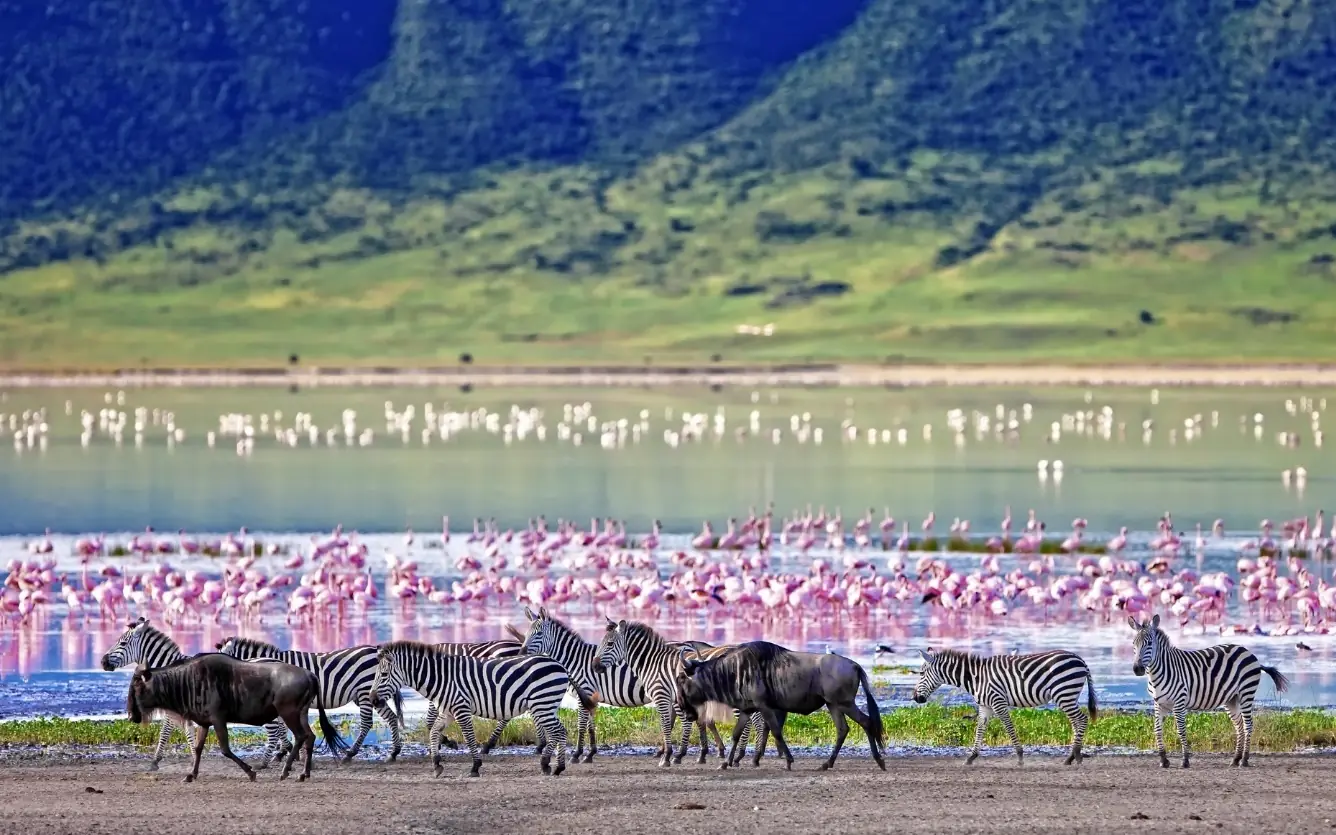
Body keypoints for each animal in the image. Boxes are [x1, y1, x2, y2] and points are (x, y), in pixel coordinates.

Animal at [216, 636, 404, 764]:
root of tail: (376, 650)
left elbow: (281, 728)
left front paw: (285, 751)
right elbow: (283, 728)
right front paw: (287, 751)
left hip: (365, 691)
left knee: (366, 723)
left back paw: (350, 754)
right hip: (372, 695)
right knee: (391, 717)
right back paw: (394, 752)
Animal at [372, 640, 594, 777]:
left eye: (383, 675)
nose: (372, 700)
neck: (442, 677)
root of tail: (559, 664)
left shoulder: (461, 708)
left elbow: (469, 737)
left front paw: (475, 766)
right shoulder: (447, 711)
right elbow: (434, 732)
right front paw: (436, 764)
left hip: (543, 703)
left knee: (558, 731)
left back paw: (556, 767)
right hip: (545, 705)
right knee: (557, 731)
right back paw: (548, 764)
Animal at [592, 618, 766, 767]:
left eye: (610, 644)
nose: (595, 666)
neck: (652, 663)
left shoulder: (661, 696)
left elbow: (666, 723)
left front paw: (668, 756)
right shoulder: (673, 698)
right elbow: (676, 722)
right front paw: (673, 754)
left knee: (750, 721)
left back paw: (739, 758)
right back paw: (748, 758)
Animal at [913, 646, 1097, 765]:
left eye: (921, 673)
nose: (915, 698)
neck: (976, 677)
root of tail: (1080, 660)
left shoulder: (998, 702)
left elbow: (1009, 727)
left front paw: (1020, 757)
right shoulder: (985, 706)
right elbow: (980, 730)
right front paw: (971, 757)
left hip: (1064, 693)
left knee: (1082, 719)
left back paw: (1075, 755)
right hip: (1068, 695)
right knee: (1076, 722)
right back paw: (1071, 757)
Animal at [1129, 614, 1290, 768]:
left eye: (1149, 644)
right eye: (1133, 644)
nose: (1137, 669)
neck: (1158, 673)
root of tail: (1247, 651)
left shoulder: (1179, 702)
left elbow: (1181, 730)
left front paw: (1185, 760)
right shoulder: (1159, 703)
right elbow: (1157, 729)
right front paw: (1163, 760)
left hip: (1246, 692)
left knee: (1248, 725)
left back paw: (1244, 760)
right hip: (1231, 699)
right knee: (1239, 725)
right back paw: (1235, 759)